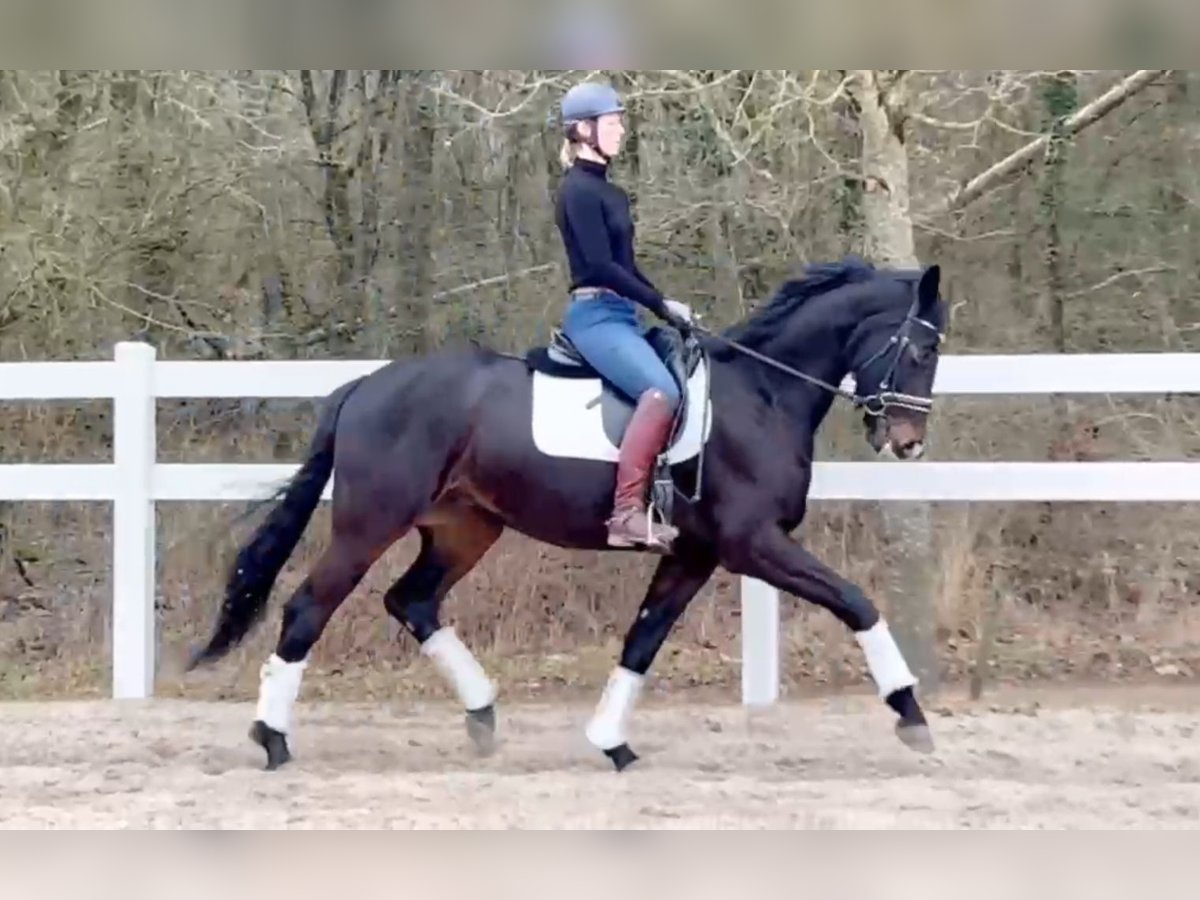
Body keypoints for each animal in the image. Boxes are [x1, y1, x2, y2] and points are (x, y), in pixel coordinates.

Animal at [189, 255, 945, 777]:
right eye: (922, 348)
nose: (909, 442)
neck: (763, 394)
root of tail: (367, 384)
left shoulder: (693, 554)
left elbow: (641, 642)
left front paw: (613, 744)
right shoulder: (753, 544)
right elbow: (857, 602)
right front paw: (911, 716)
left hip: (465, 527)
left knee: (412, 600)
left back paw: (482, 714)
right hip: (369, 525)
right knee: (308, 609)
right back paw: (273, 739)